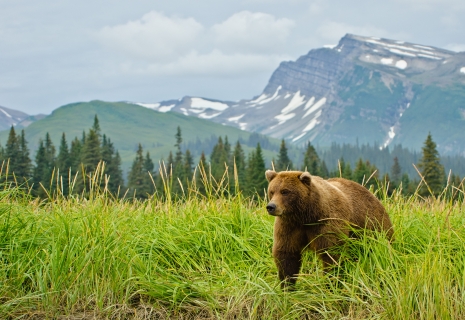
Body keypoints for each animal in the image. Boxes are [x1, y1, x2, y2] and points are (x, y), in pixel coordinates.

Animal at [264, 170, 392, 288]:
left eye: (285, 191)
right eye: (272, 191)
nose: (271, 207)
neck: (306, 216)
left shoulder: (327, 224)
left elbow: (332, 254)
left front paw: (330, 283)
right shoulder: (289, 226)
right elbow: (286, 254)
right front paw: (287, 286)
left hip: (372, 227)